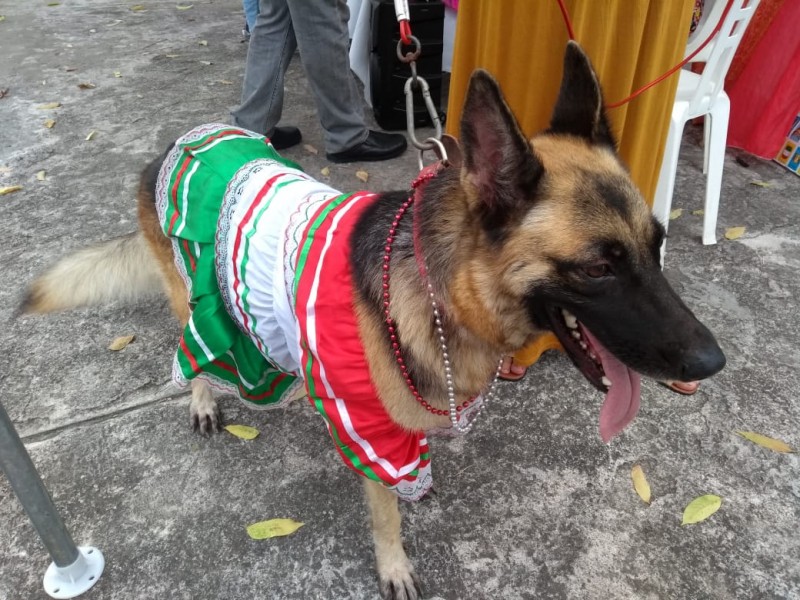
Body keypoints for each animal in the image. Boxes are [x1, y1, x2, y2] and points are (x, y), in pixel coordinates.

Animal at [25, 43, 724, 600]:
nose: (712, 363)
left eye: (657, 244)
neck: (444, 295)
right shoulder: (371, 429)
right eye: (598, 269)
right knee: (192, 350)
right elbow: (386, 510)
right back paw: (202, 395)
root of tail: (182, 139)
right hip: (194, 298)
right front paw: (394, 561)